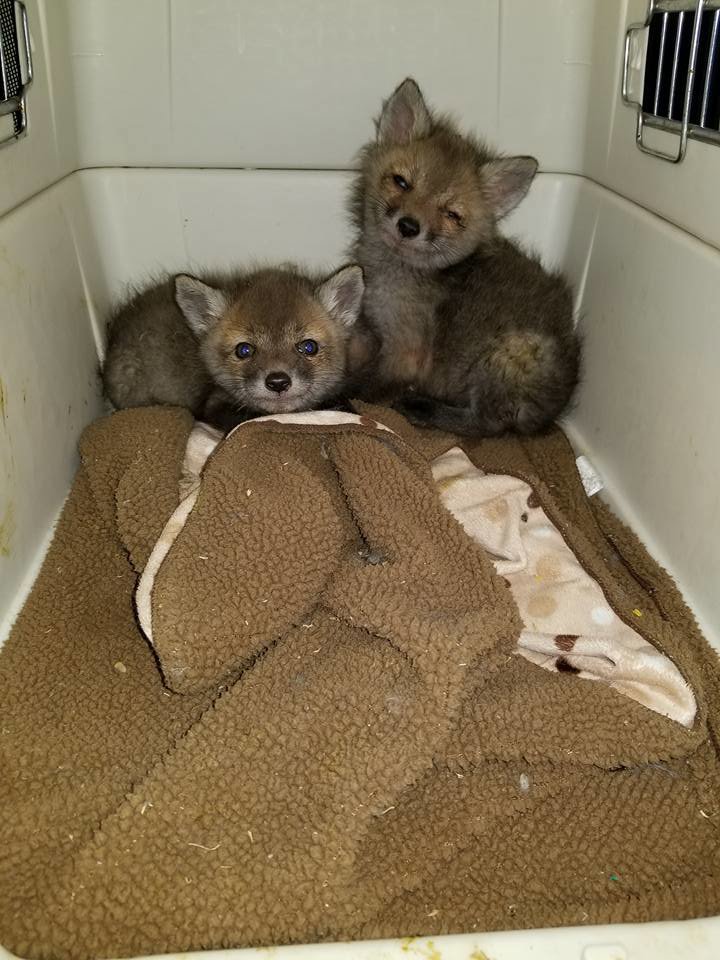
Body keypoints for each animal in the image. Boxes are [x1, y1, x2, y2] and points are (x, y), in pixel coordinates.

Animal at [349, 77, 581, 436]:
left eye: (452, 214)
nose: (408, 226)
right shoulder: (374, 331)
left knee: (486, 425)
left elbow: (361, 391)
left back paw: (426, 409)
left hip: (504, 357)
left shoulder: (404, 355)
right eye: (401, 182)